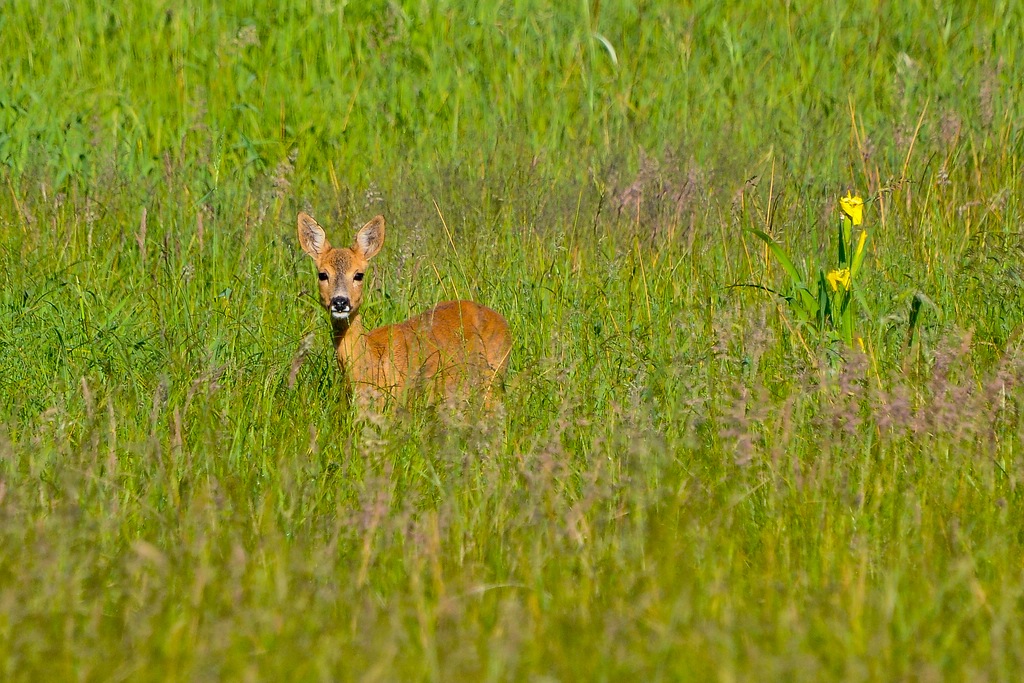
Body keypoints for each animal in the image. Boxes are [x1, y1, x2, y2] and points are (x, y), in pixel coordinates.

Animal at [297, 211, 512, 406]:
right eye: (322, 274)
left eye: (358, 274)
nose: (340, 302)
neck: (371, 363)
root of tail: (503, 322)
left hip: (494, 375)